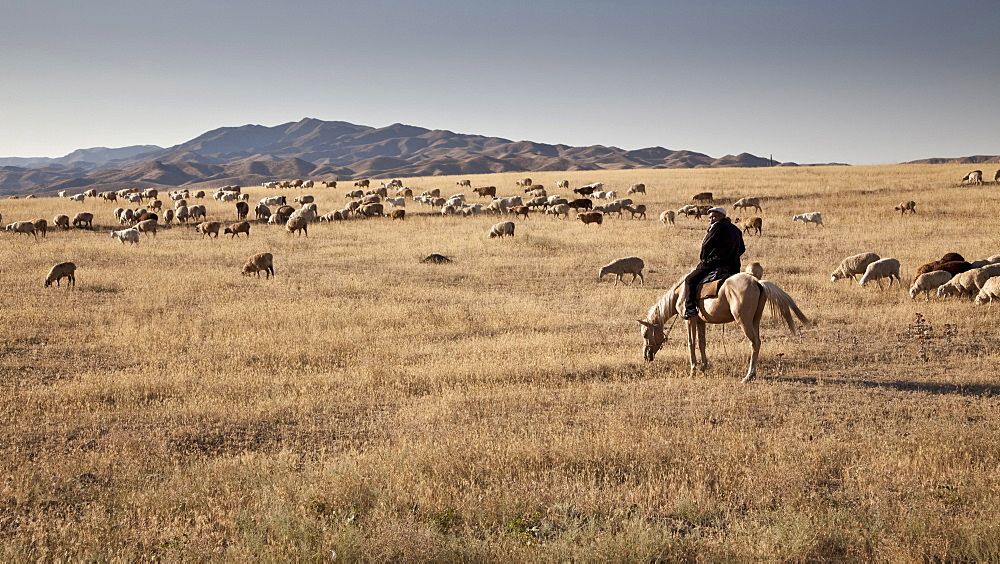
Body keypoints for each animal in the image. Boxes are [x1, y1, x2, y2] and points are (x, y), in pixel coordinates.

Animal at [640, 272, 812, 384]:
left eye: (645, 335)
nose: (646, 356)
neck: (680, 292)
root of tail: (757, 282)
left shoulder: (690, 320)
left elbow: (691, 343)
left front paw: (693, 370)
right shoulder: (700, 322)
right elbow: (702, 343)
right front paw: (704, 367)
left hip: (744, 321)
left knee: (755, 343)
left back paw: (748, 376)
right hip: (754, 321)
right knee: (757, 342)